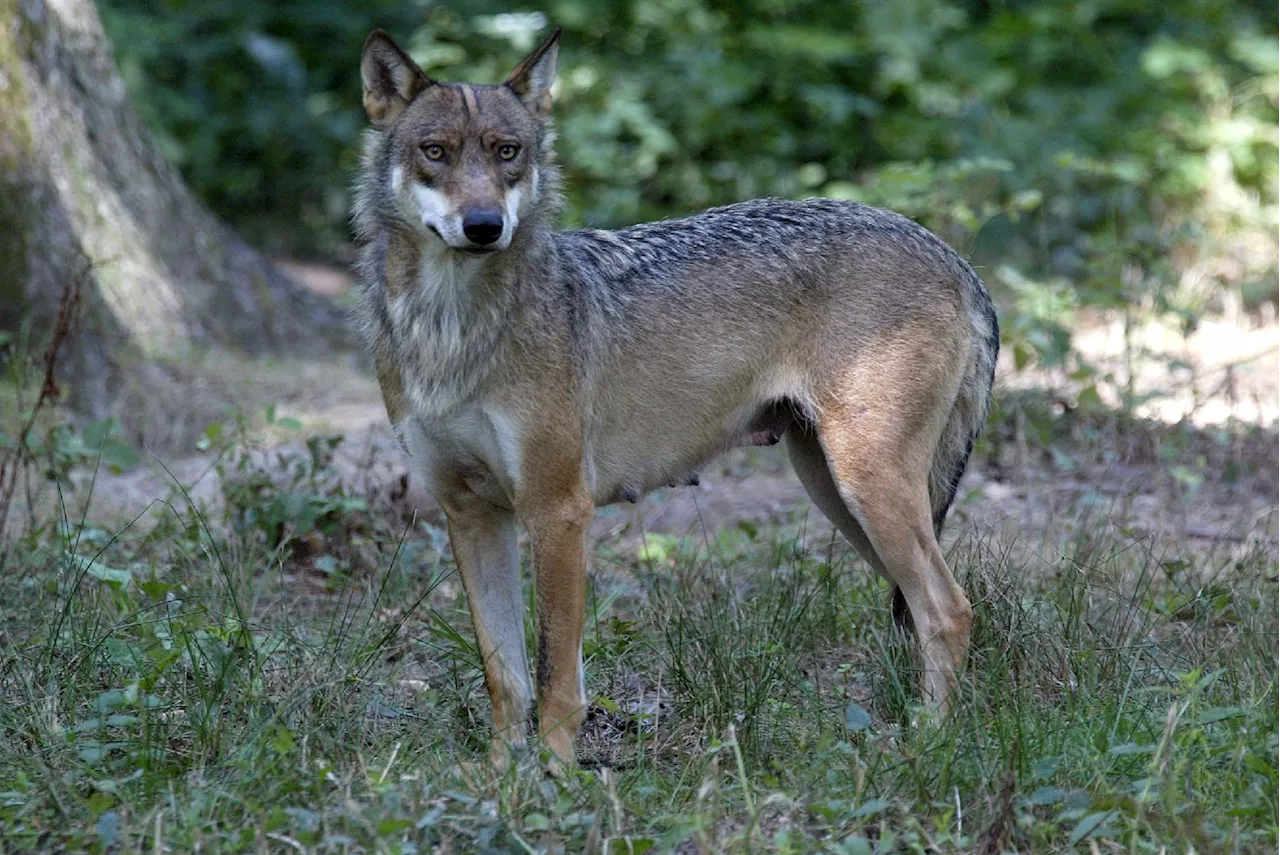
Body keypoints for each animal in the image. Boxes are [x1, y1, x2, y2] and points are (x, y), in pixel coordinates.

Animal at [353, 26, 998, 767]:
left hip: (870, 491)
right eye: (436, 152)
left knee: (950, 609)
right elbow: (505, 675)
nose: (485, 225)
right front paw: (498, 778)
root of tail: (956, 259)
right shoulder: (471, 514)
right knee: (924, 611)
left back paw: (931, 744)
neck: (451, 327)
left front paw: (554, 779)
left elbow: (554, 680)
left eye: (506, 152)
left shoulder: (558, 512)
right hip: (842, 498)